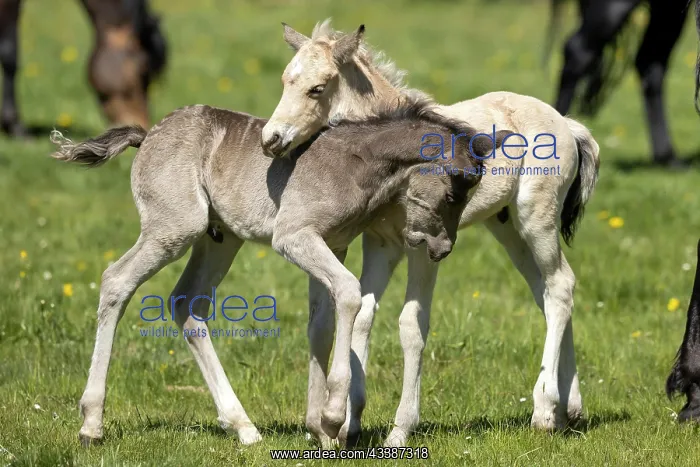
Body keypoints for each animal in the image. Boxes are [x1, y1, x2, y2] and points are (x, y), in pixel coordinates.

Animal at [49, 98, 505, 446]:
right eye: (453, 194)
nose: (442, 249)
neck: (354, 164)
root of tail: (148, 136)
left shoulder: (333, 244)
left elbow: (321, 324)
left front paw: (321, 431)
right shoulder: (294, 237)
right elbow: (349, 293)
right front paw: (334, 415)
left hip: (220, 239)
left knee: (187, 304)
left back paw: (244, 428)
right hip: (175, 228)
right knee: (117, 281)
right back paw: (91, 424)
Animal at [261, 20, 600, 447]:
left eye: (317, 88)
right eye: (284, 80)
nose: (270, 140)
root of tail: (566, 123)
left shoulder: (424, 246)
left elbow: (411, 325)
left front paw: (400, 429)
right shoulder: (380, 243)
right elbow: (364, 315)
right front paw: (350, 423)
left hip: (535, 219)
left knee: (560, 285)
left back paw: (545, 409)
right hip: (506, 228)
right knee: (546, 291)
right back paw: (570, 409)